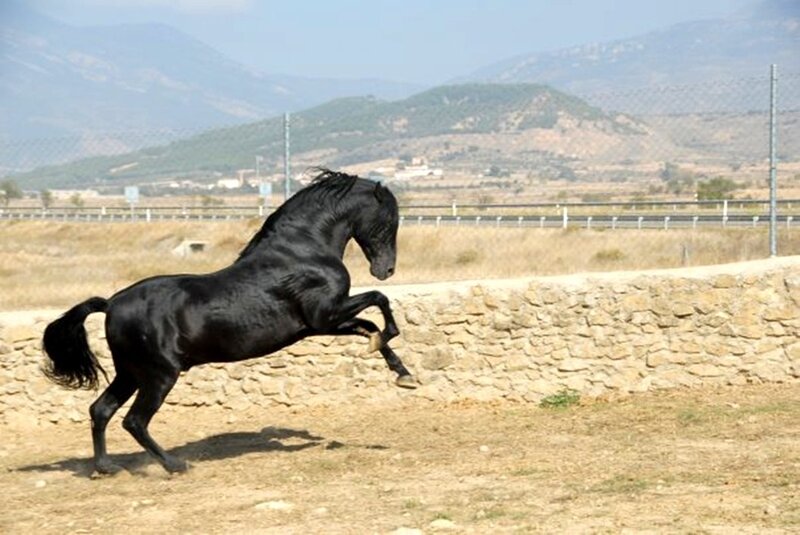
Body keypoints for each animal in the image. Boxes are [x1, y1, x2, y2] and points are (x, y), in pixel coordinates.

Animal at [42, 169, 416, 475]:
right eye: (389, 220)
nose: (386, 269)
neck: (304, 252)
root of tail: (111, 304)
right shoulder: (324, 317)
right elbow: (379, 304)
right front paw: (397, 358)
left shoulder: (321, 325)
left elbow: (370, 328)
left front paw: (403, 375)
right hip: (159, 375)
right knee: (134, 421)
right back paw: (175, 465)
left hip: (131, 372)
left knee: (100, 410)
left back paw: (105, 467)